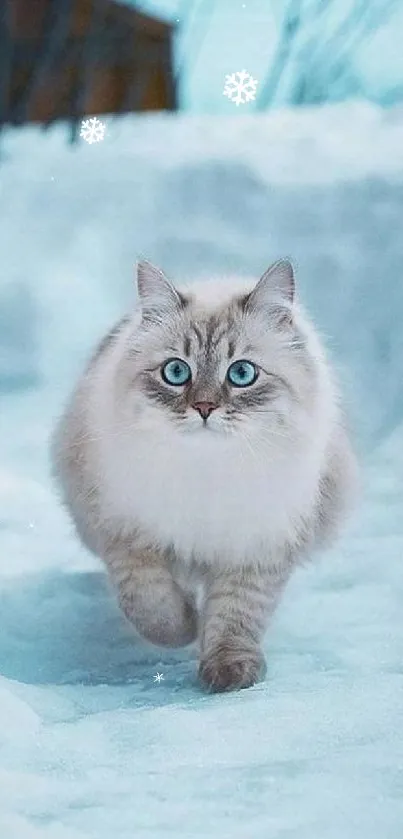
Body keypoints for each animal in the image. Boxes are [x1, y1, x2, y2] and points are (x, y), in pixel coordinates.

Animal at [50, 262, 356, 696]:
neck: (208, 470)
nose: (205, 407)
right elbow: (152, 607)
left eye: (241, 373)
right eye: (176, 372)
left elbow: (234, 619)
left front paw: (229, 674)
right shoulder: (126, 535)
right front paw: (187, 628)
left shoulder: (256, 550)